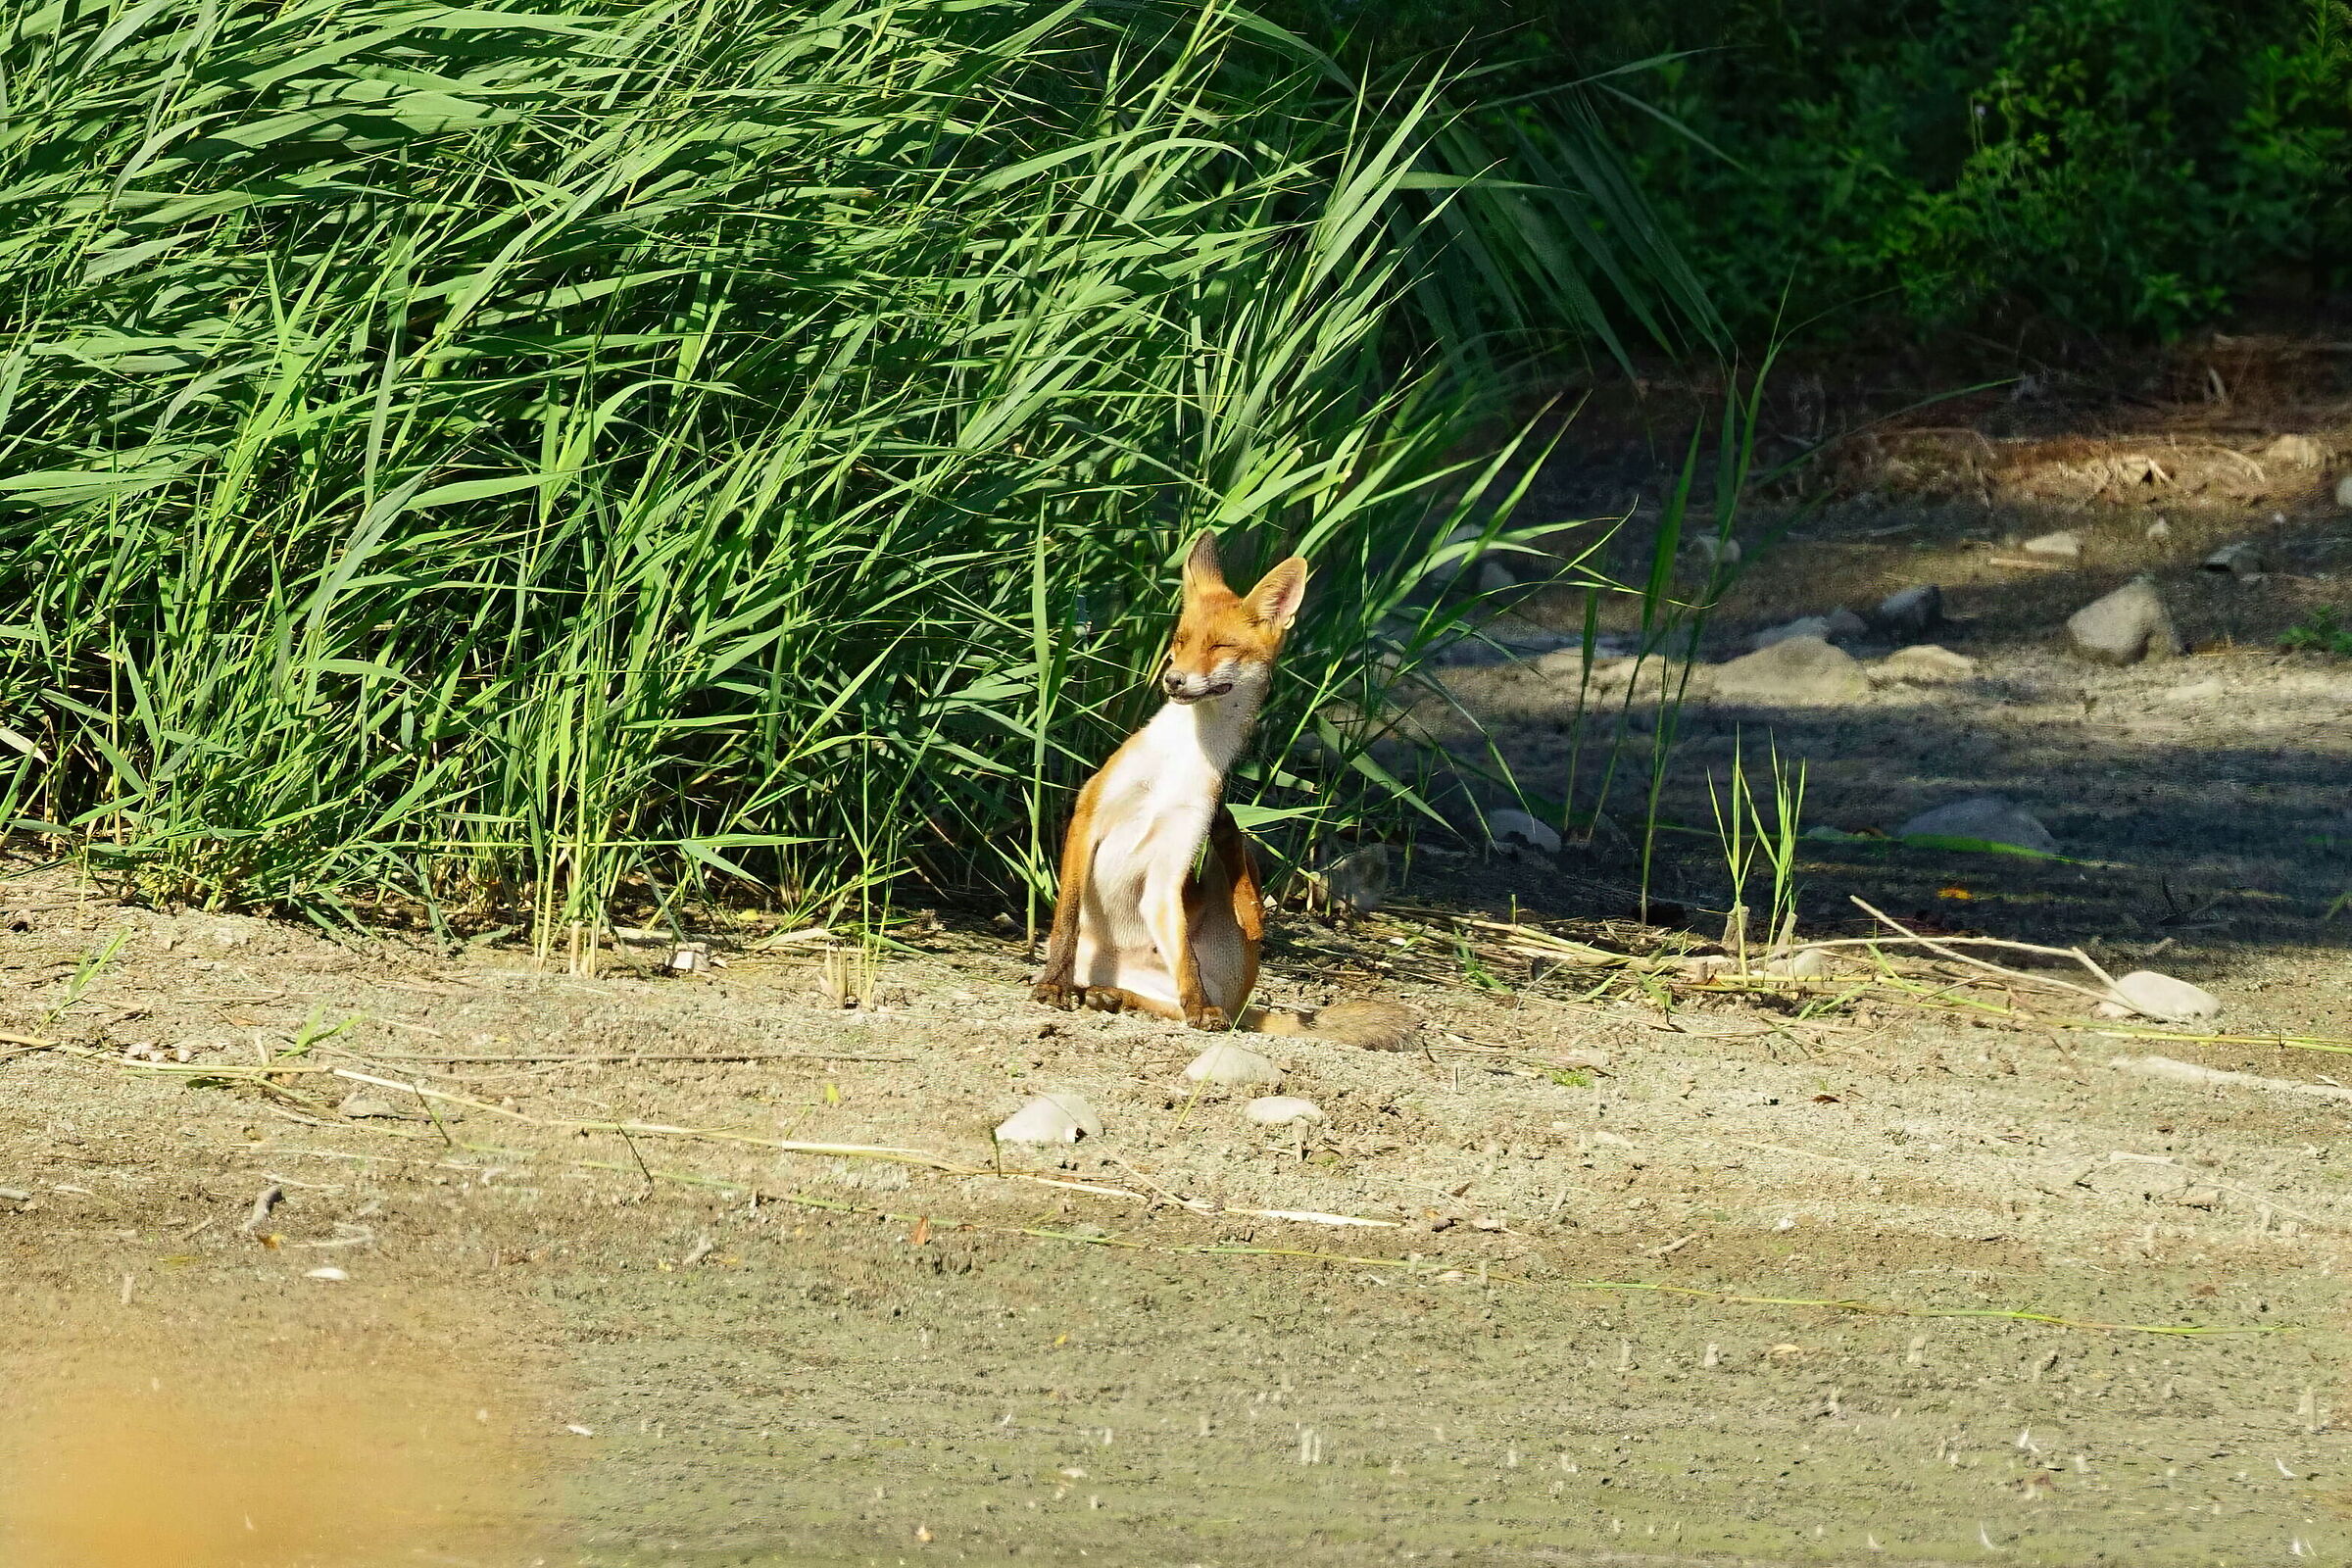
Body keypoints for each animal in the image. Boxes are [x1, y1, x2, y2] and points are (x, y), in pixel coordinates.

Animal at [1030, 529, 1416, 1051]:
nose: (1173, 680)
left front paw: (1200, 1009)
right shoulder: (1089, 816)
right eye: (1180, 642)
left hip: (1217, 920)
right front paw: (1054, 982)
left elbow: (1188, 966)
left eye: (1220, 646)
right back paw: (1098, 990)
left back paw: (1135, 997)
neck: (1175, 767)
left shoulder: (1171, 864)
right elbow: (1066, 918)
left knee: (1195, 995)